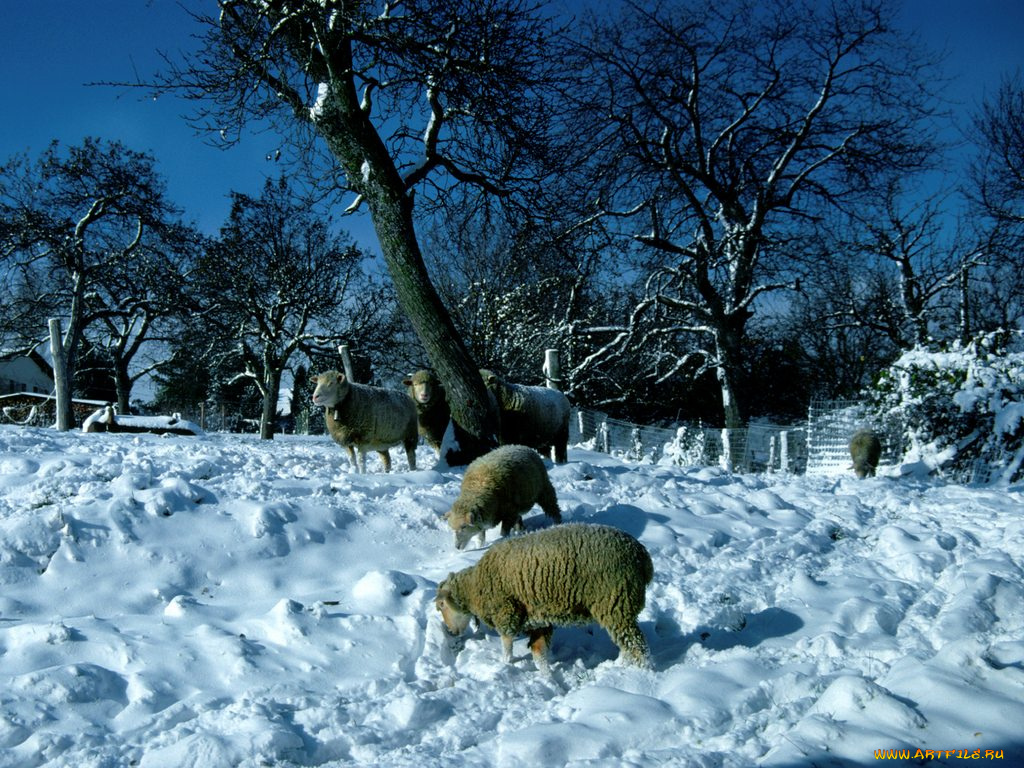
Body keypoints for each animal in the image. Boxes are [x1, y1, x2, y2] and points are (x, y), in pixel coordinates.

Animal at [435, 523, 653, 669]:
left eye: (441, 605)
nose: (451, 632)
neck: (475, 586)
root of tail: (642, 556)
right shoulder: (537, 618)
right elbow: (539, 650)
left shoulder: (506, 611)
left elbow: (507, 643)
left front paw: (505, 663)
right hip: (619, 607)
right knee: (629, 644)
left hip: (616, 603)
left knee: (637, 646)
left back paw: (636, 673)